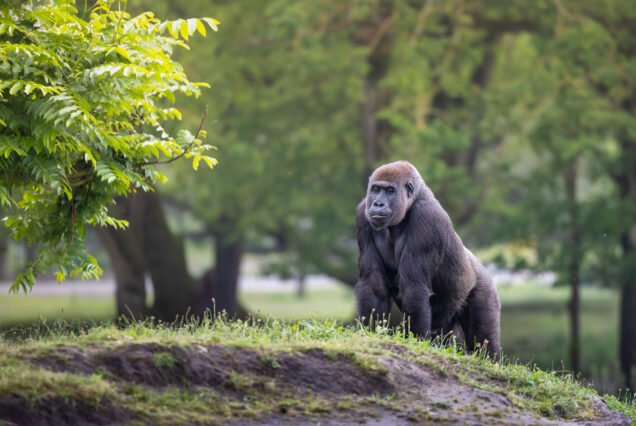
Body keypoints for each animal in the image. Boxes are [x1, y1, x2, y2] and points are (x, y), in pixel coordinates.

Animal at [356, 161, 500, 358]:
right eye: (376, 189)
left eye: (390, 191)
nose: (378, 203)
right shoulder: (363, 214)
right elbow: (373, 284)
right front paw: (369, 332)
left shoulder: (428, 218)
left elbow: (414, 287)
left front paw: (415, 341)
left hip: (485, 288)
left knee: (484, 340)